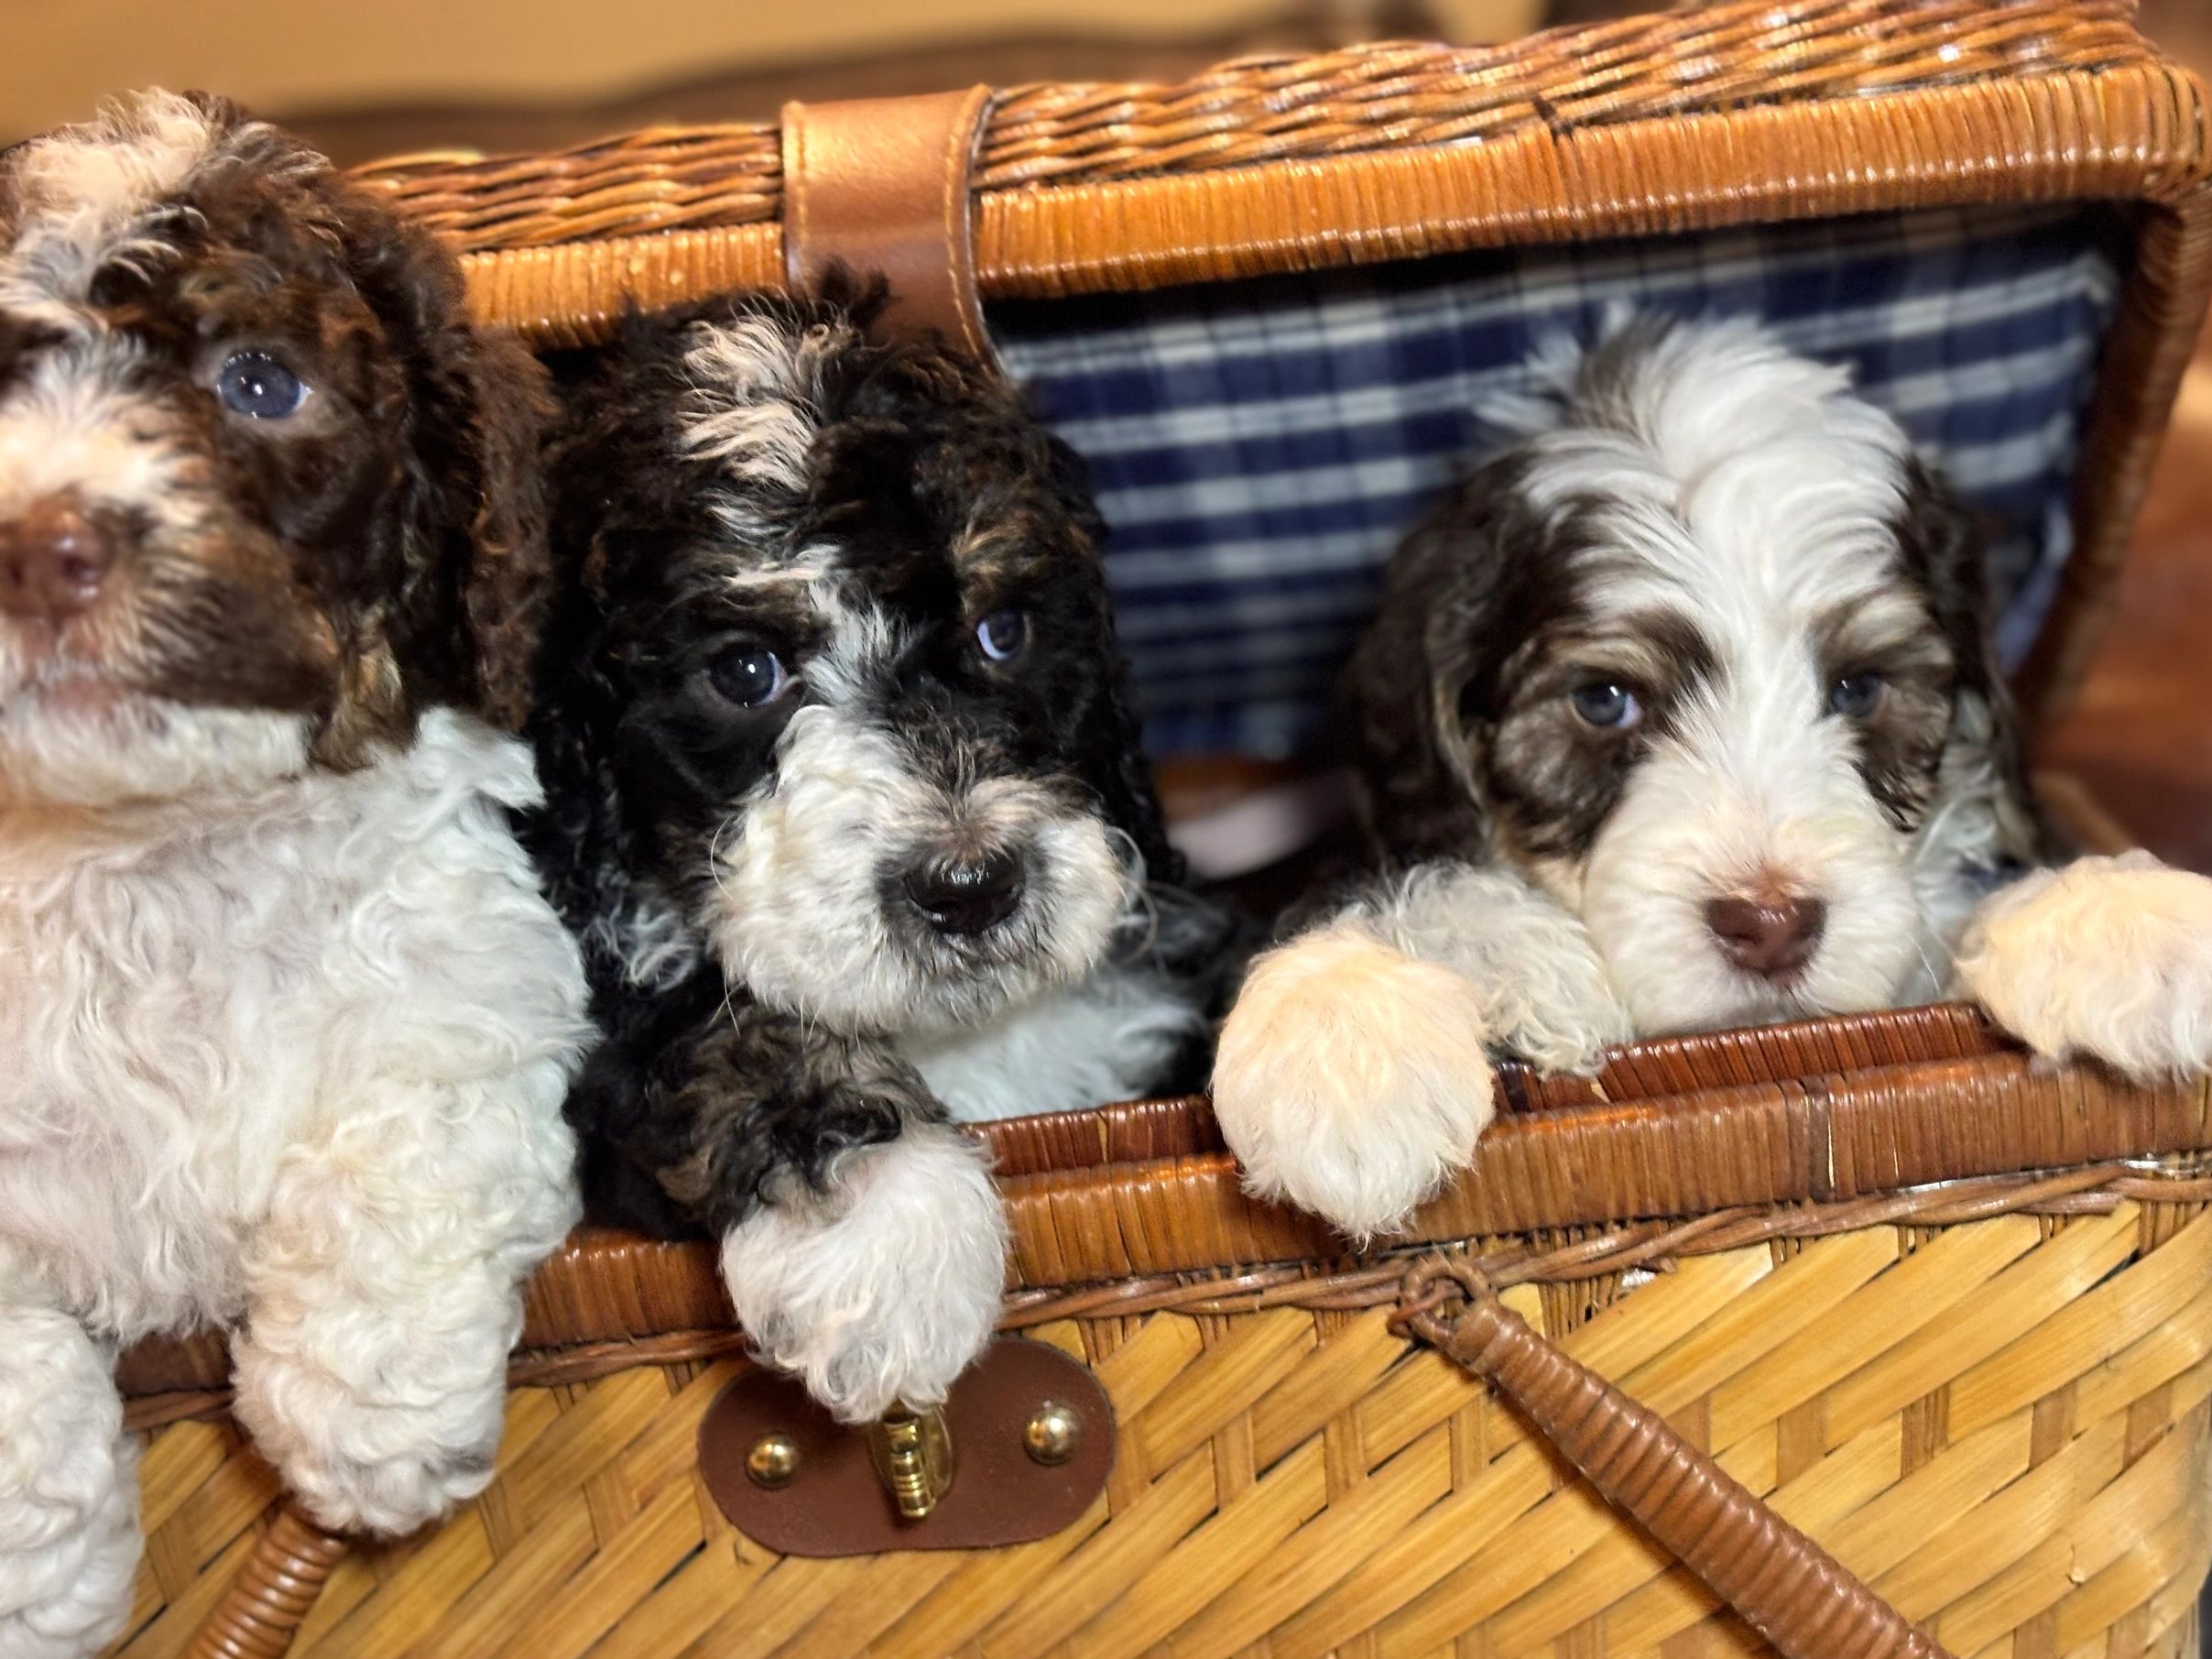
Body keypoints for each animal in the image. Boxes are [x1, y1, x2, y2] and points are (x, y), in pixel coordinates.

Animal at [0, 93, 593, 1659]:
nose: (36, 544)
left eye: (260, 383)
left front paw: (366, 1433)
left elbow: (405, 1152)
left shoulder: (475, 991)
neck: (152, 847)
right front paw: (43, 1579)